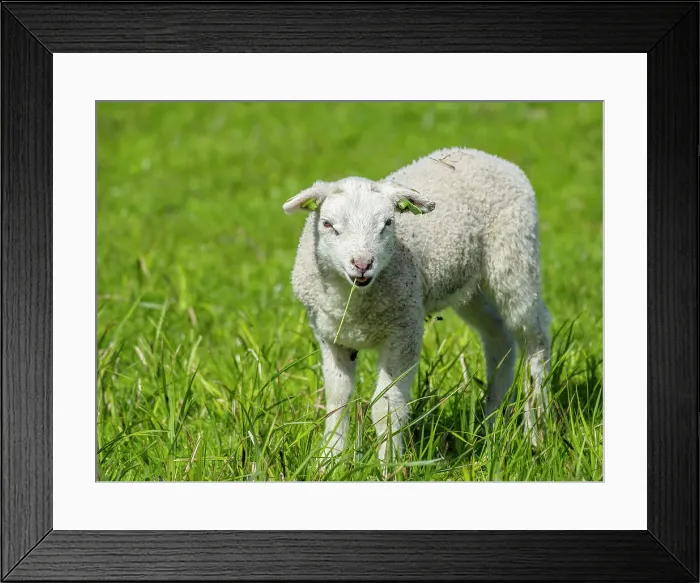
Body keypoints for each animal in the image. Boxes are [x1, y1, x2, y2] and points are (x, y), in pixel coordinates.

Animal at [282, 146, 552, 468]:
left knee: (536, 338)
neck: (353, 298)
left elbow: (386, 407)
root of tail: (487, 155)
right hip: (470, 286)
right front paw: (329, 461)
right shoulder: (331, 336)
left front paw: (388, 465)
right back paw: (492, 422)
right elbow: (337, 400)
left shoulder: (404, 331)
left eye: (388, 223)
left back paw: (536, 430)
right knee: (499, 336)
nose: (362, 264)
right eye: (327, 224)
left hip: (515, 259)